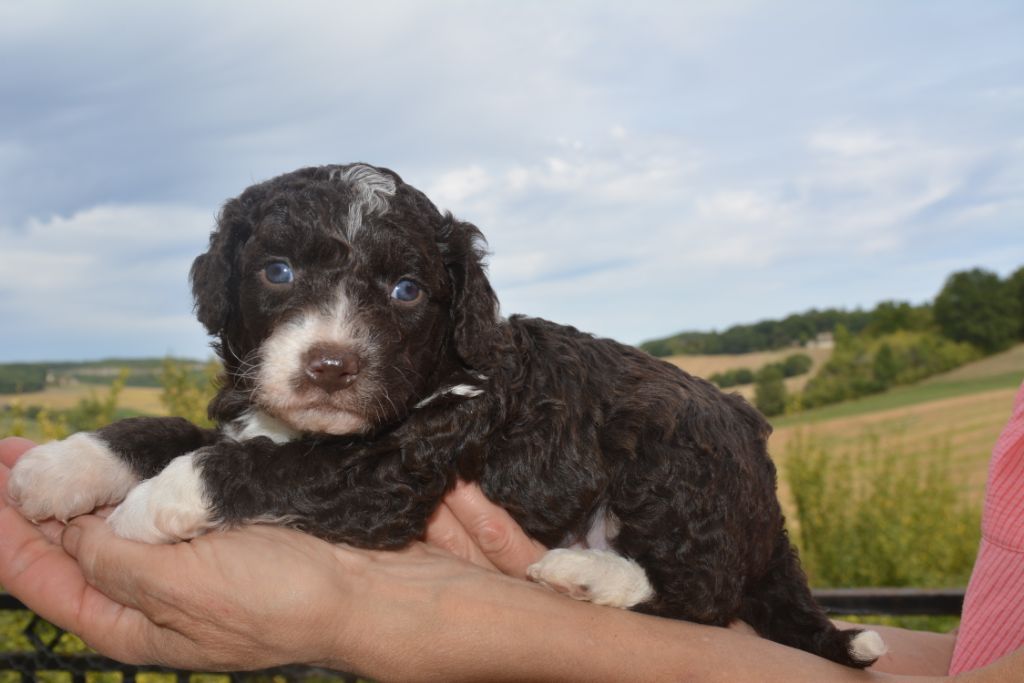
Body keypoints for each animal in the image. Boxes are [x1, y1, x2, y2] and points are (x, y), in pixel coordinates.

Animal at [8, 163, 885, 667]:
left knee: (701, 593)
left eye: (406, 291)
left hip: (670, 460)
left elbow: (261, 463)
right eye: (277, 271)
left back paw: (586, 573)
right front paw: (60, 467)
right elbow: (169, 433)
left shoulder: (389, 471)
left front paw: (155, 501)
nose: (331, 367)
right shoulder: (259, 412)